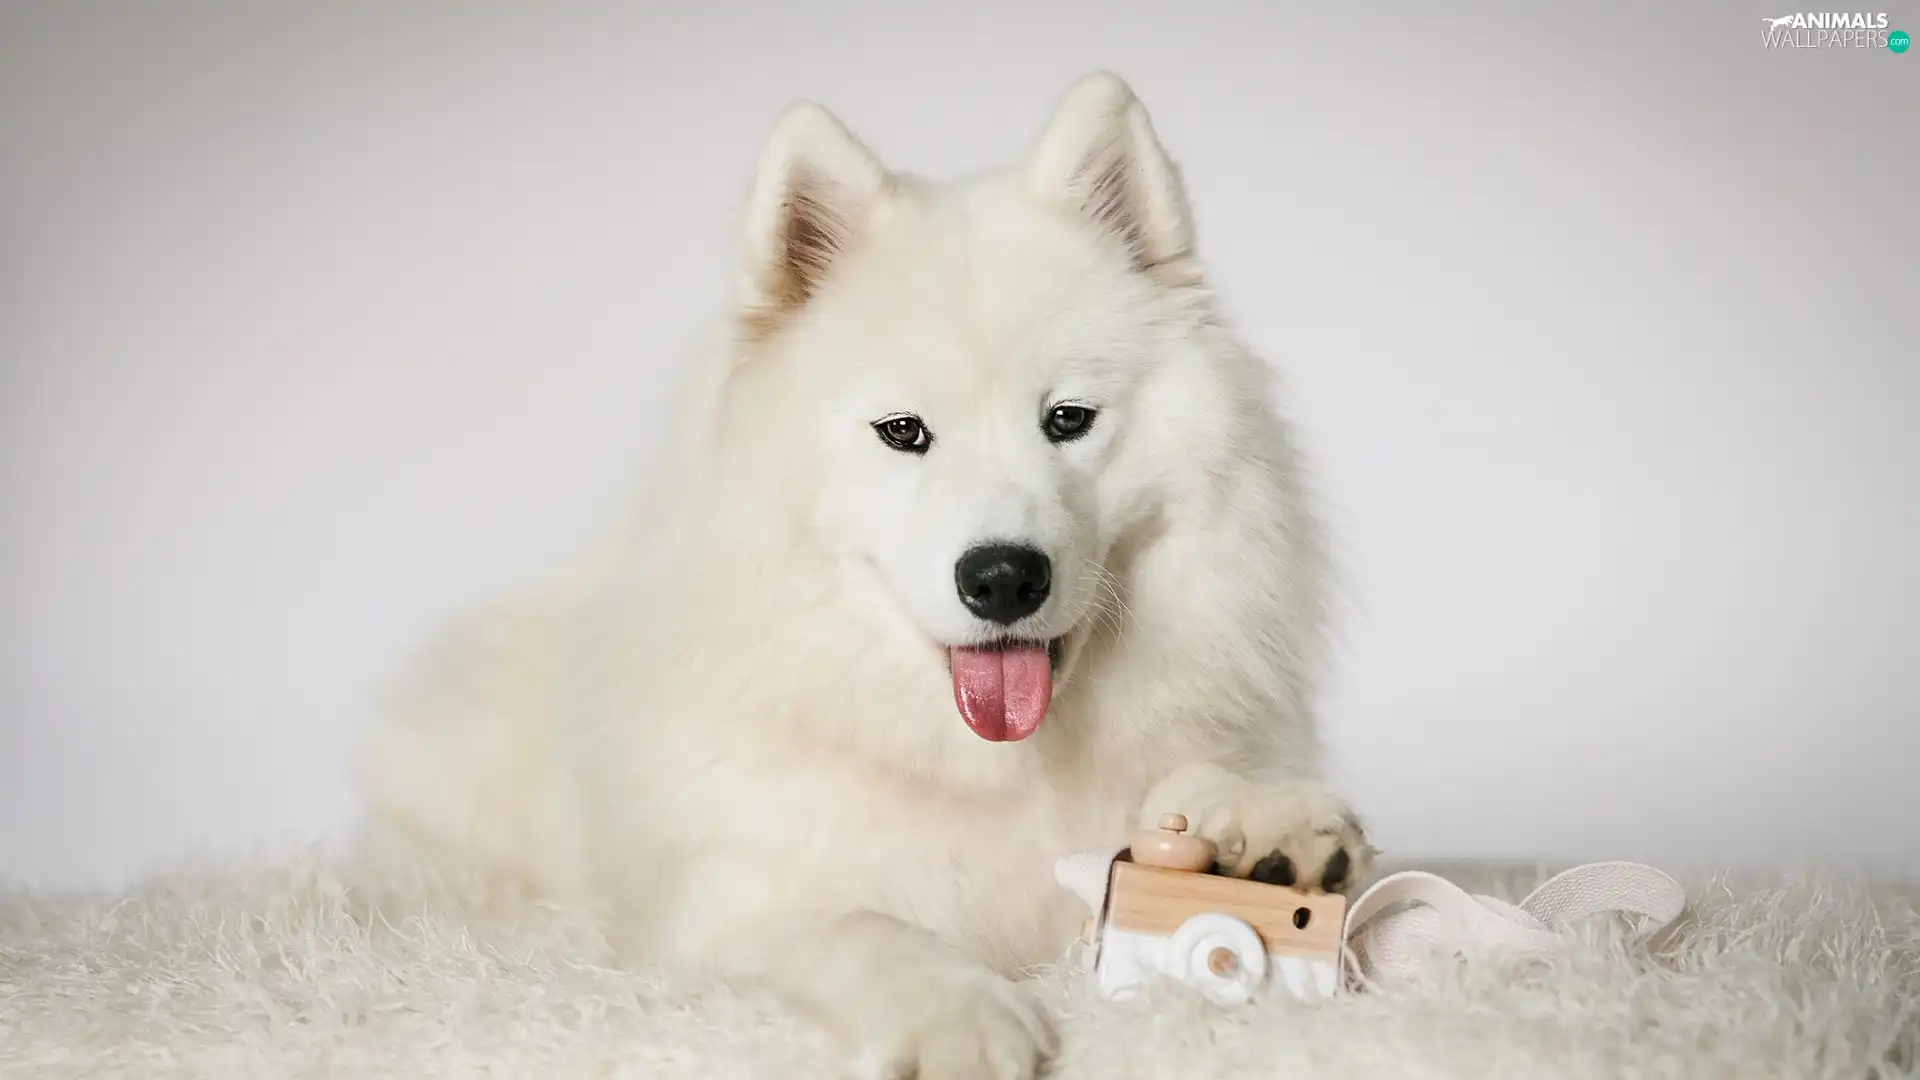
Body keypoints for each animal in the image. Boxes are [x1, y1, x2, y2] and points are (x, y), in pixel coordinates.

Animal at [357, 71, 1382, 1068]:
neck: (992, 771)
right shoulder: (727, 912)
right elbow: (860, 929)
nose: (1003, 578)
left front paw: (1264, 829)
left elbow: (1202, 789)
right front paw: (961, 1015)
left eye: (1068, 420)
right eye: (904, 433)